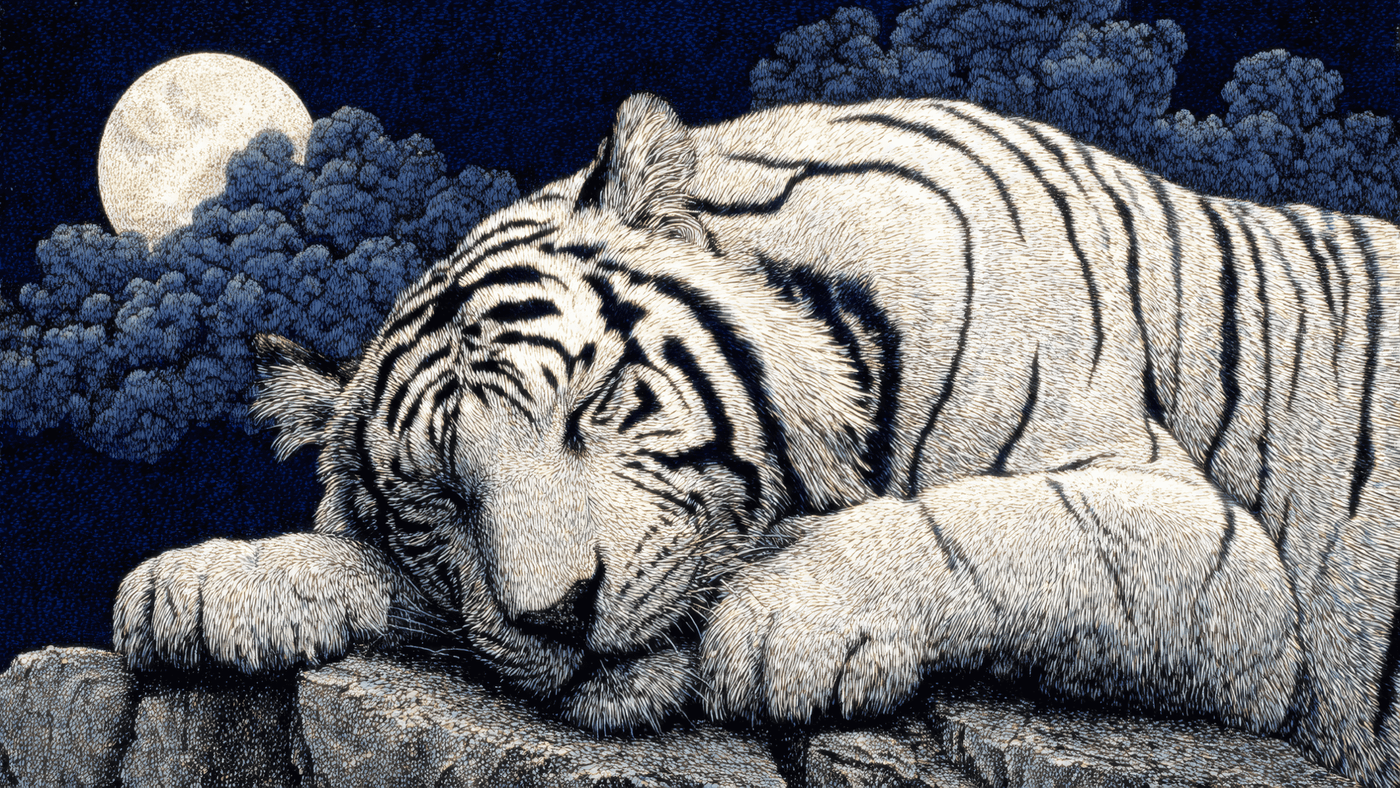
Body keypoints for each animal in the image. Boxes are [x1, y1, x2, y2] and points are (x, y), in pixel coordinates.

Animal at [112, 93, 1400, 786]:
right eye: (438, 495)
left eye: (591, 403)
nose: (559, 612)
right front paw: (205, 581)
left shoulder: (1220, 564)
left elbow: (995, 524)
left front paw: (787, 617)